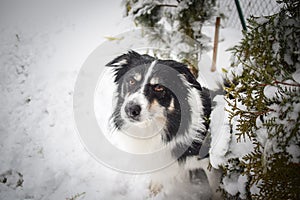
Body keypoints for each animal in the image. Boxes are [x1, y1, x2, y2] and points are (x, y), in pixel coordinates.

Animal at [105, 50, 220, 198]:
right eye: (131, 81)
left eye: (159, 87)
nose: (131, 109)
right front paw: (153, 193)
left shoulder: (209, 163)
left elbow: (216, 190)